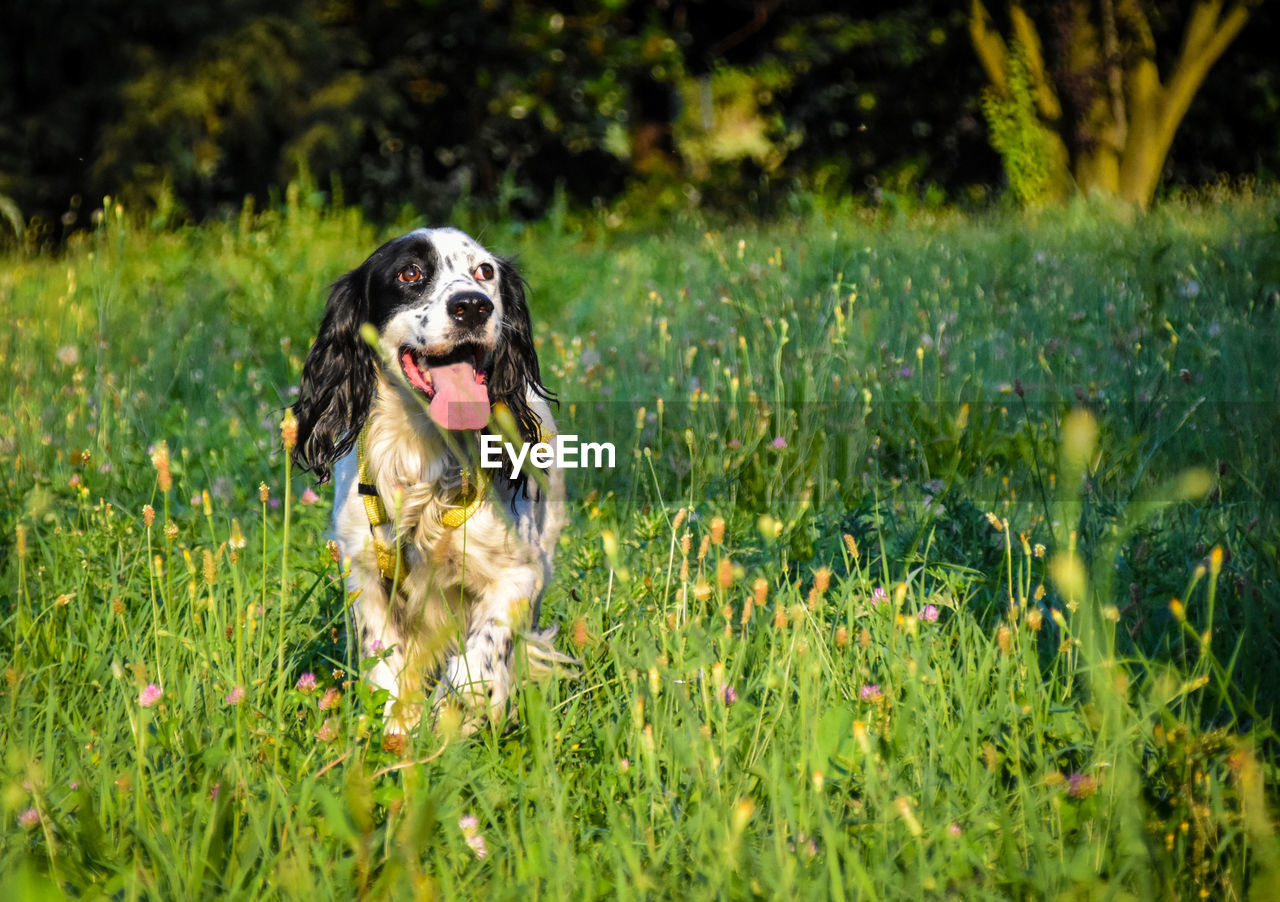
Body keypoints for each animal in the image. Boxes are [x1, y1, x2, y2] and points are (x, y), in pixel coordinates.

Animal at [293, 226, 573, 731]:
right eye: (410, 273)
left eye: (485, 271)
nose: (473, 306)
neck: (424, 453)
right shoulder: (366, 576)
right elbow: (384, 666)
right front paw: (397, 731)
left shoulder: (521, 572)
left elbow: (480, 658)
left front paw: (459, 710)